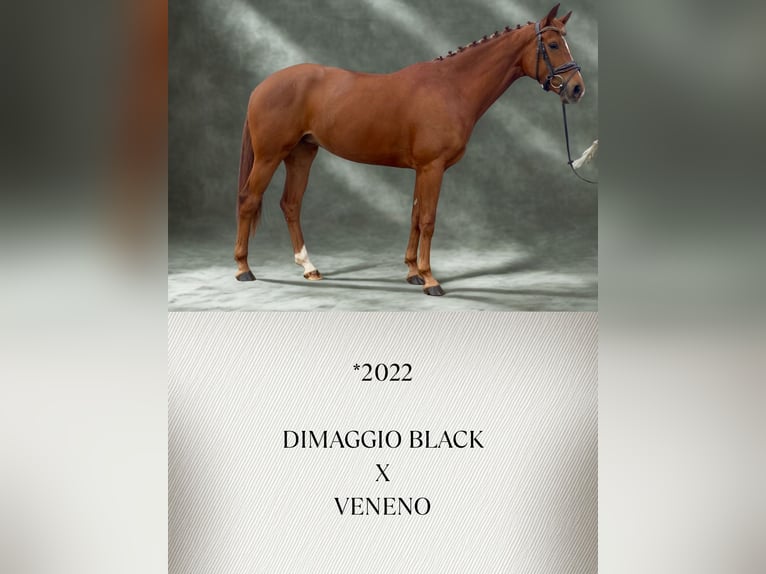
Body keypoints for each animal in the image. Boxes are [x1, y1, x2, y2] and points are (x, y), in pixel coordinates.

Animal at [235, 3, 586, 296]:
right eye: (553, 45)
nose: (577, 89)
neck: (451, 87)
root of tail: (262, 86)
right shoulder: (432, 167)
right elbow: (428, 219)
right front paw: (430, 280)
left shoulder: (422, 169)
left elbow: (415, 216)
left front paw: (413, 273)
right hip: (270, 156)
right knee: (249, 199)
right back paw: (243, 269)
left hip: (301, 155)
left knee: (291, 204)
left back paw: (309, 267)